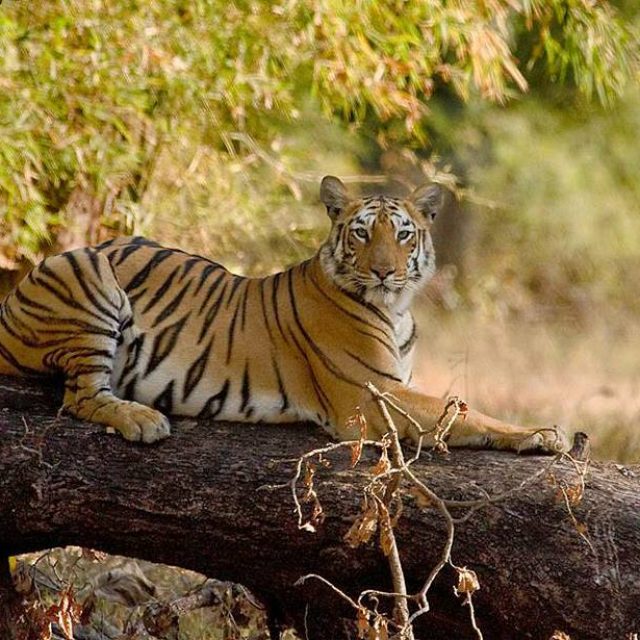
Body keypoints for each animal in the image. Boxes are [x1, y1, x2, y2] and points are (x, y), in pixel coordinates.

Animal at [0, 176, 566, 452]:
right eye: (362, 233)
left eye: (404, 234)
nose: (384, 272)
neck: (396, 309)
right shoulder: (370, 396)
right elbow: (458, 407)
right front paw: (543, 434)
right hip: (86, 270)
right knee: (80, 397)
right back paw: (143, 420)